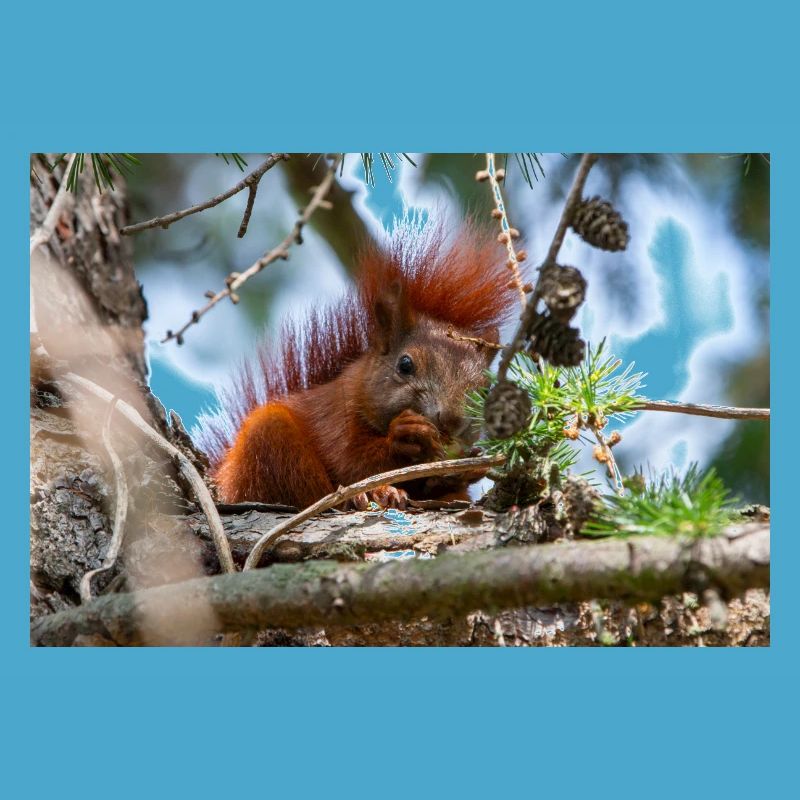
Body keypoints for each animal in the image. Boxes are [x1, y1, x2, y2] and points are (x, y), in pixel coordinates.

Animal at [199, 221, 519, 510]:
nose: (451, 419)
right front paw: (405, 435)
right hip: (268, 443)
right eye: (405, 365)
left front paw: (469, 468)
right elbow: (352, 461)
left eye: (485, 390)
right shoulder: (334, 417)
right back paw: (367, 495)